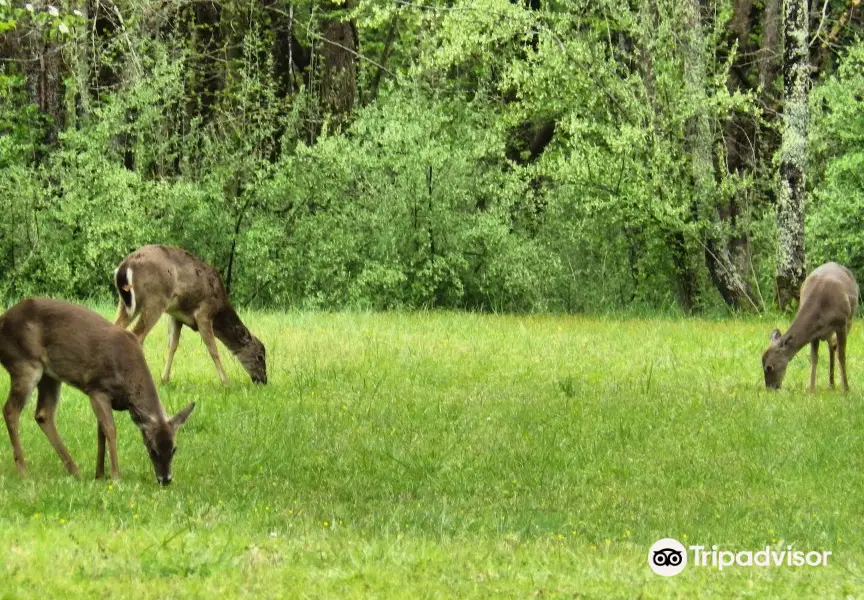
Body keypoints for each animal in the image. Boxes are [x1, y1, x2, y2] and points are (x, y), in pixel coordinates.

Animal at [0, 298, 196, 486]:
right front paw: (116, 476)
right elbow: (110, 429)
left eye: (174, 448)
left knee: (43, 414)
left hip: (49, 375)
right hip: (25, 364)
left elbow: (100, 431)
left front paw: (100, 474)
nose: (166, 479)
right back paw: (24, 472)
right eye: (152, 449)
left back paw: (74, 470)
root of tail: (3, 320)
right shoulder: (97, 388)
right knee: (10, 410)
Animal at [113, 244, 266, 384]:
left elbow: (172, 345)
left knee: (118, 327)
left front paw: (165, 379)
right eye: (260, 356)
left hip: (127, 303)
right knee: (137, 335)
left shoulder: (176, 315)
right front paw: (226, 382)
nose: (263, 380)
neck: (219, 309)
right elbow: (213, 349)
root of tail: (125, 266)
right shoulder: (204, 313)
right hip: (155, 299)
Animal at [764, 262, 856, 392]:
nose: (771, 388)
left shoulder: (842, 323)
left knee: (835, 347)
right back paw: (831, 384)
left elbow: (842, 356)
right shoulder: (814, 333)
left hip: (850, 319)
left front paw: (846, 389)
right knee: (831, 346)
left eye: (769, 367)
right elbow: (814, 358)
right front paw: (811, 389)